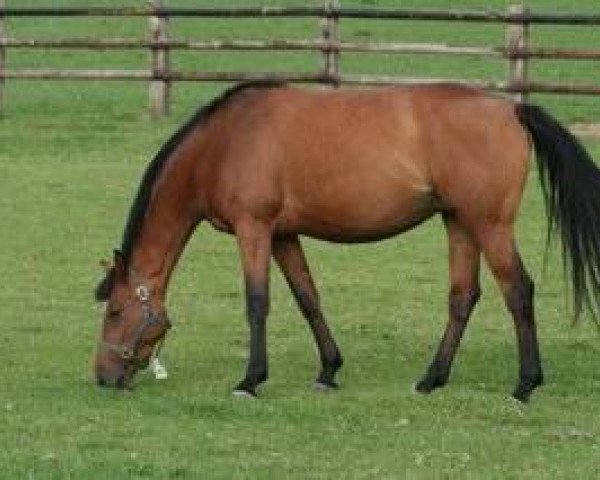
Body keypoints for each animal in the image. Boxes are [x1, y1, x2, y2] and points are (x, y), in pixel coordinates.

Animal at [94, 81, 600, 402]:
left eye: (116, 311)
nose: (102, 377)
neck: (224, 143)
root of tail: (511, 109)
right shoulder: (284, 234)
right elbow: (308, 298)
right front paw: (328, 370)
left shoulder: (254, 228)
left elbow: (257, 302)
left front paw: (250, 380)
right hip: (459, 222)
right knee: (463, 297)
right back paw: (432, 379)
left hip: (489, 224)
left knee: (518, 291)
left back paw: (525, 385)